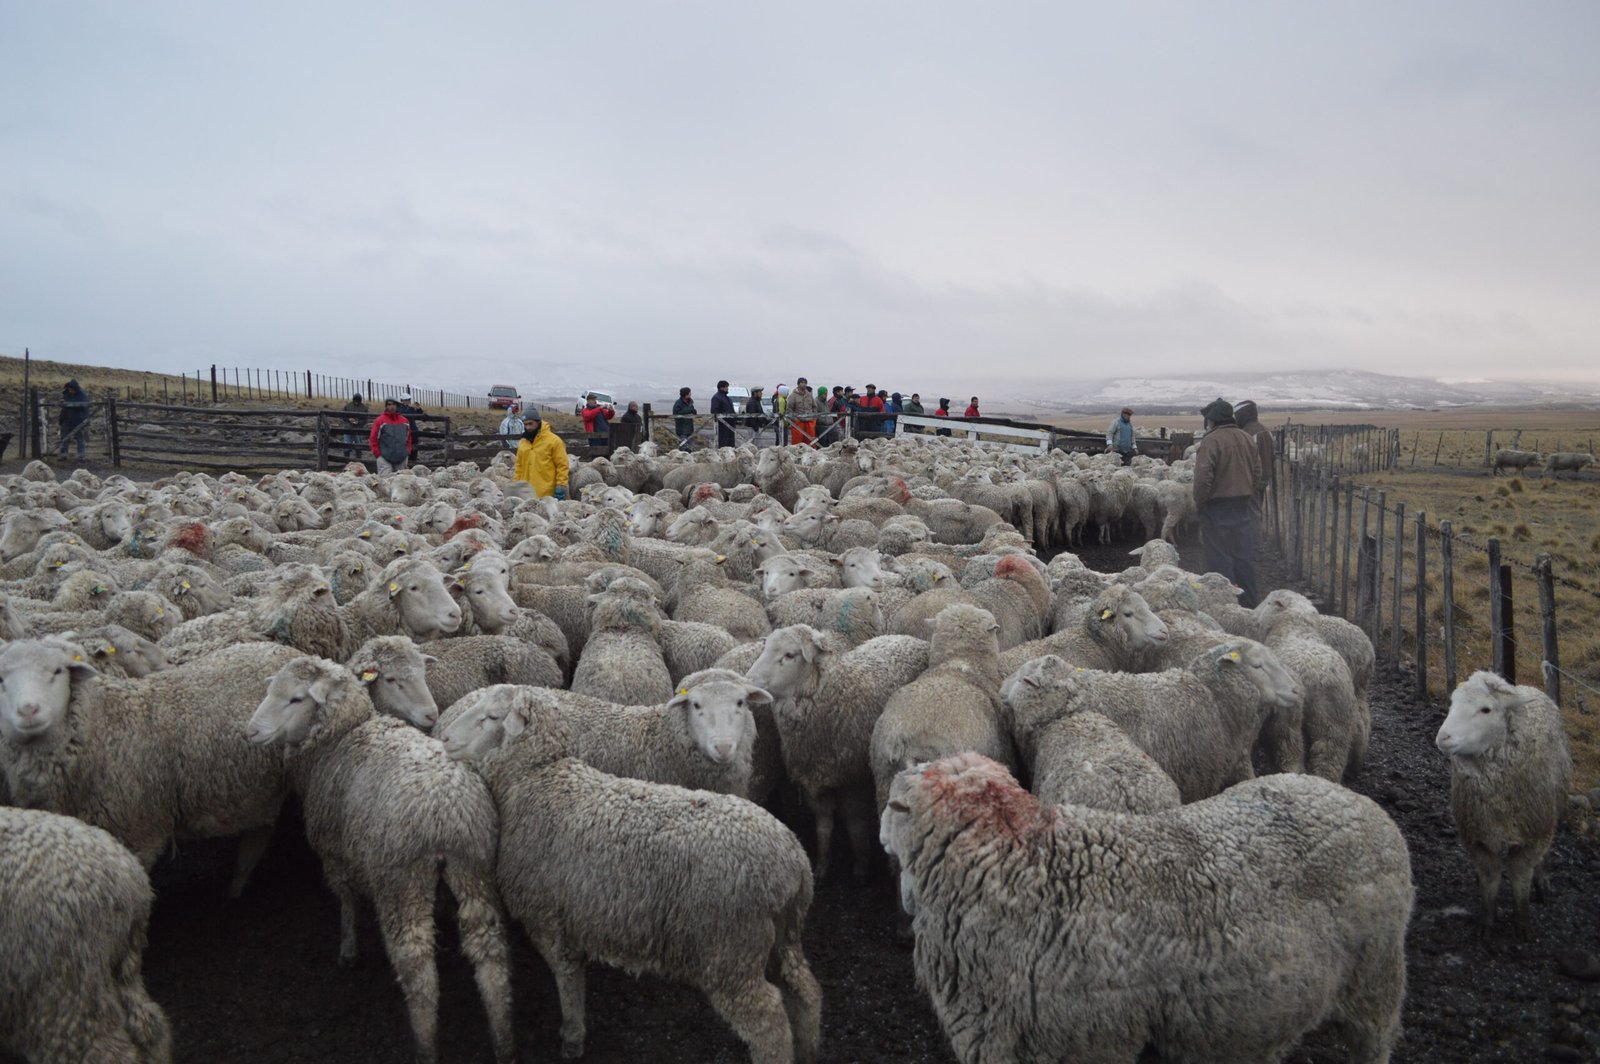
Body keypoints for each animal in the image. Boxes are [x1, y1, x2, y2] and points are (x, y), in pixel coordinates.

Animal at [0, 639, 299, 898]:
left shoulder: (139, 834)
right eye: (1, 679)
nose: (28, 710)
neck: (101, 727)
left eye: (57, 671)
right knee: (260, 829)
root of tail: (280, 648)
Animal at [246, 657, 513, 1064]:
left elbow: (346, 900)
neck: (342, 736)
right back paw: (502, 1042)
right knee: (491, 958)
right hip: (474, 869)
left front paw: (348, 950)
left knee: (418, 970)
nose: (251, 731)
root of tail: (445, 813)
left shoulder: (335, 851)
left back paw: (425, 1047)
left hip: (400, 881)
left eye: (295, 699)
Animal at [438, 686, 821, 1064]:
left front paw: (572, 1038)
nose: (444, 739)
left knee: (768, 1023)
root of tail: (794, 859)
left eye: (490, 717)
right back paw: (808, 1047)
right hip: (780, 936)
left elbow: (567, 978)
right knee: (804, 992)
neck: (538, 777)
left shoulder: (548, 918)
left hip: (731, 950)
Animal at [879, 753, 1412, 1064]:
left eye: (891, 804)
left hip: (1377, 976)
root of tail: (1366, 808)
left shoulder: (1090, 1042)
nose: (883, 836)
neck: (1024, 865)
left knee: (1376, 1039)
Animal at [1435, 671, 1573, 936]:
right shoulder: (1477, 836)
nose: (1443, 737)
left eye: (1486, 709)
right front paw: (1486, 923)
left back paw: (1543, 882)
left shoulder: (1534, 834)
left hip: (1550, 814)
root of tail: (1530, 687)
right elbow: (1490, 877)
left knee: (1544, 855)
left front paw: (1522, 923)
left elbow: (1520, 877)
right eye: (1452, 702)